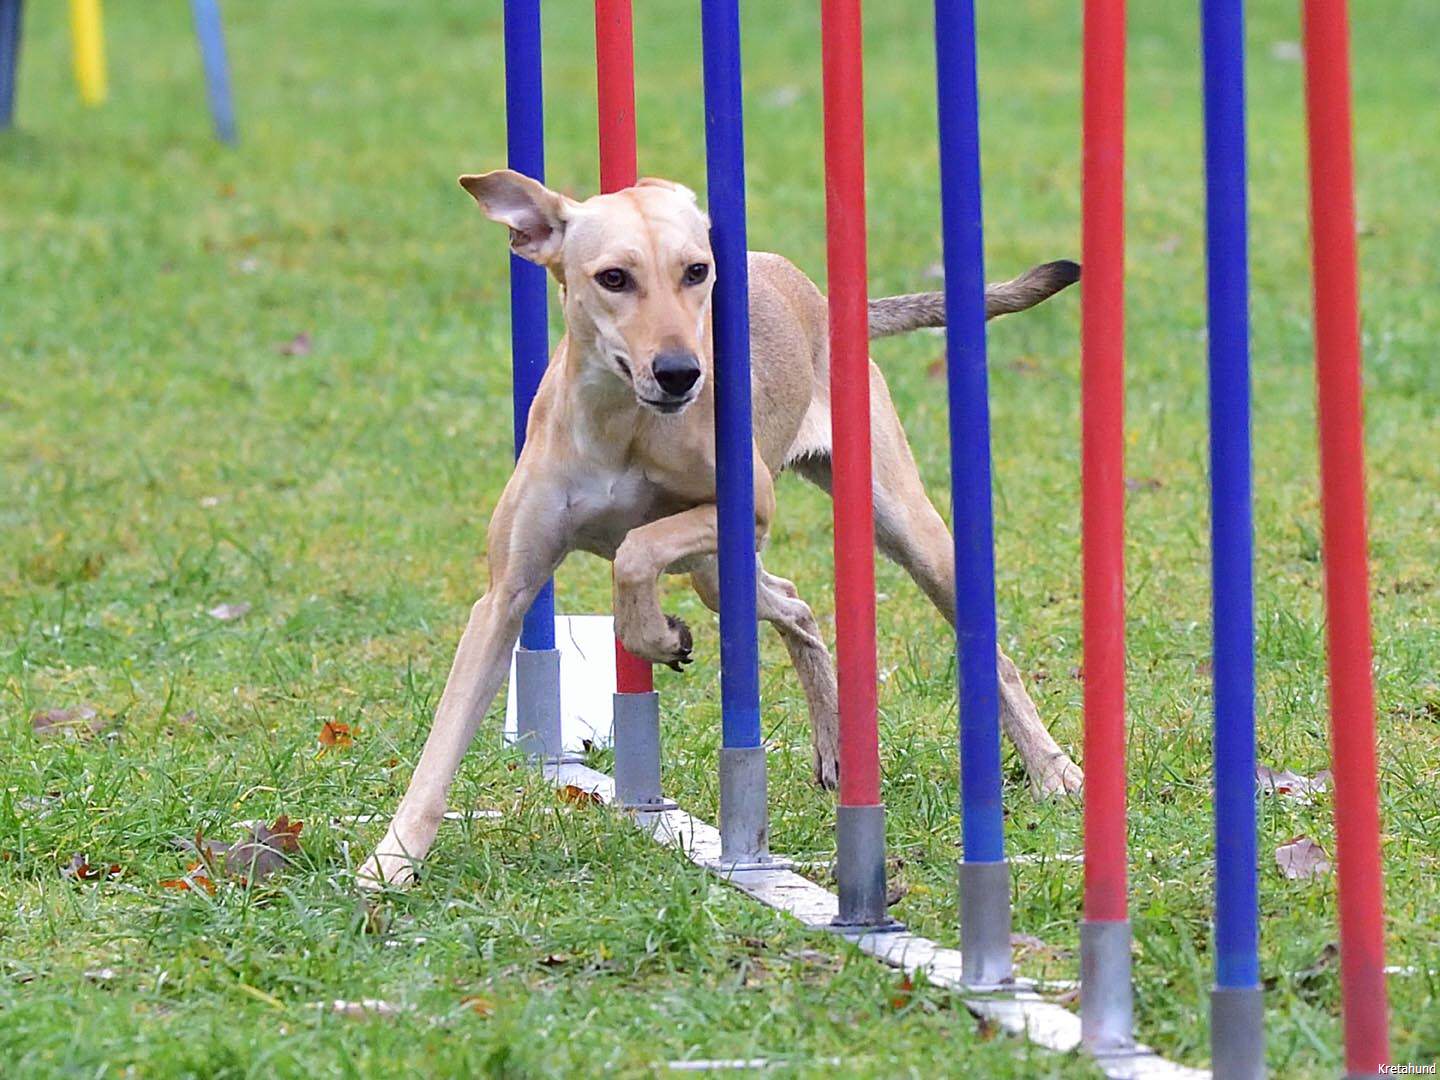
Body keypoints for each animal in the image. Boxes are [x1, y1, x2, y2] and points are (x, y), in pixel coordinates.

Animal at [359, 171, 1082, 888]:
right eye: (614, 277)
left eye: (696, 271)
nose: (682, 372)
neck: (622, 423)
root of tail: (818, 296)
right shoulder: (506, 594)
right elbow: (445, 736)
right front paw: (391, 859)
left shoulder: (746, 504)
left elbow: (634, 547)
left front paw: (654, 636)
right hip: (719, 572)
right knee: (794, 604)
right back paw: (836, 747)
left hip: (901, 530)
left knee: (991, 656)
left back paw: (1052, 770)